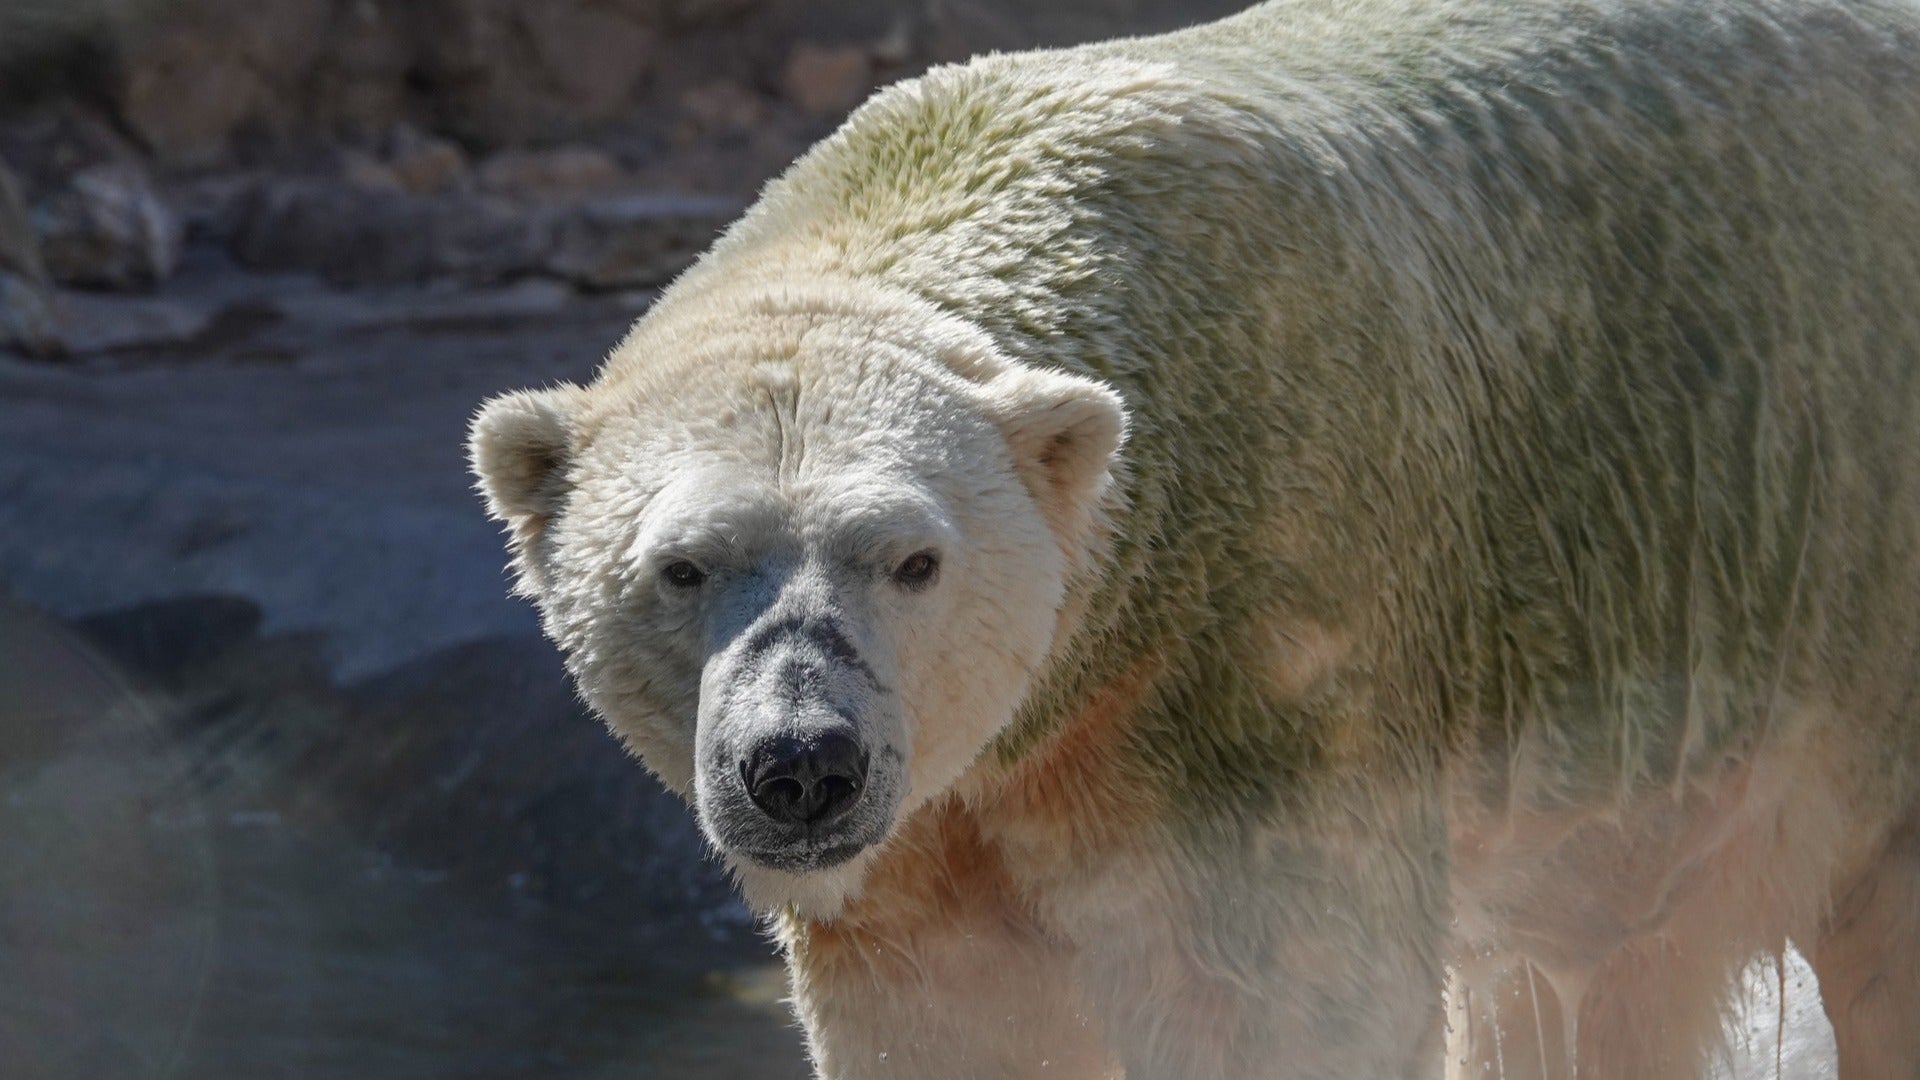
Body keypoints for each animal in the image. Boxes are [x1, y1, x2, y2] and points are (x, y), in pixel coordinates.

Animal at [472, 0, 1920, 1068]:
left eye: (913, 559)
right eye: (683, 566)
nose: (802, 763)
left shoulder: (1267, 648)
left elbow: (1279, 998)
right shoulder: (938, 830)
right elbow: (948, 1011)